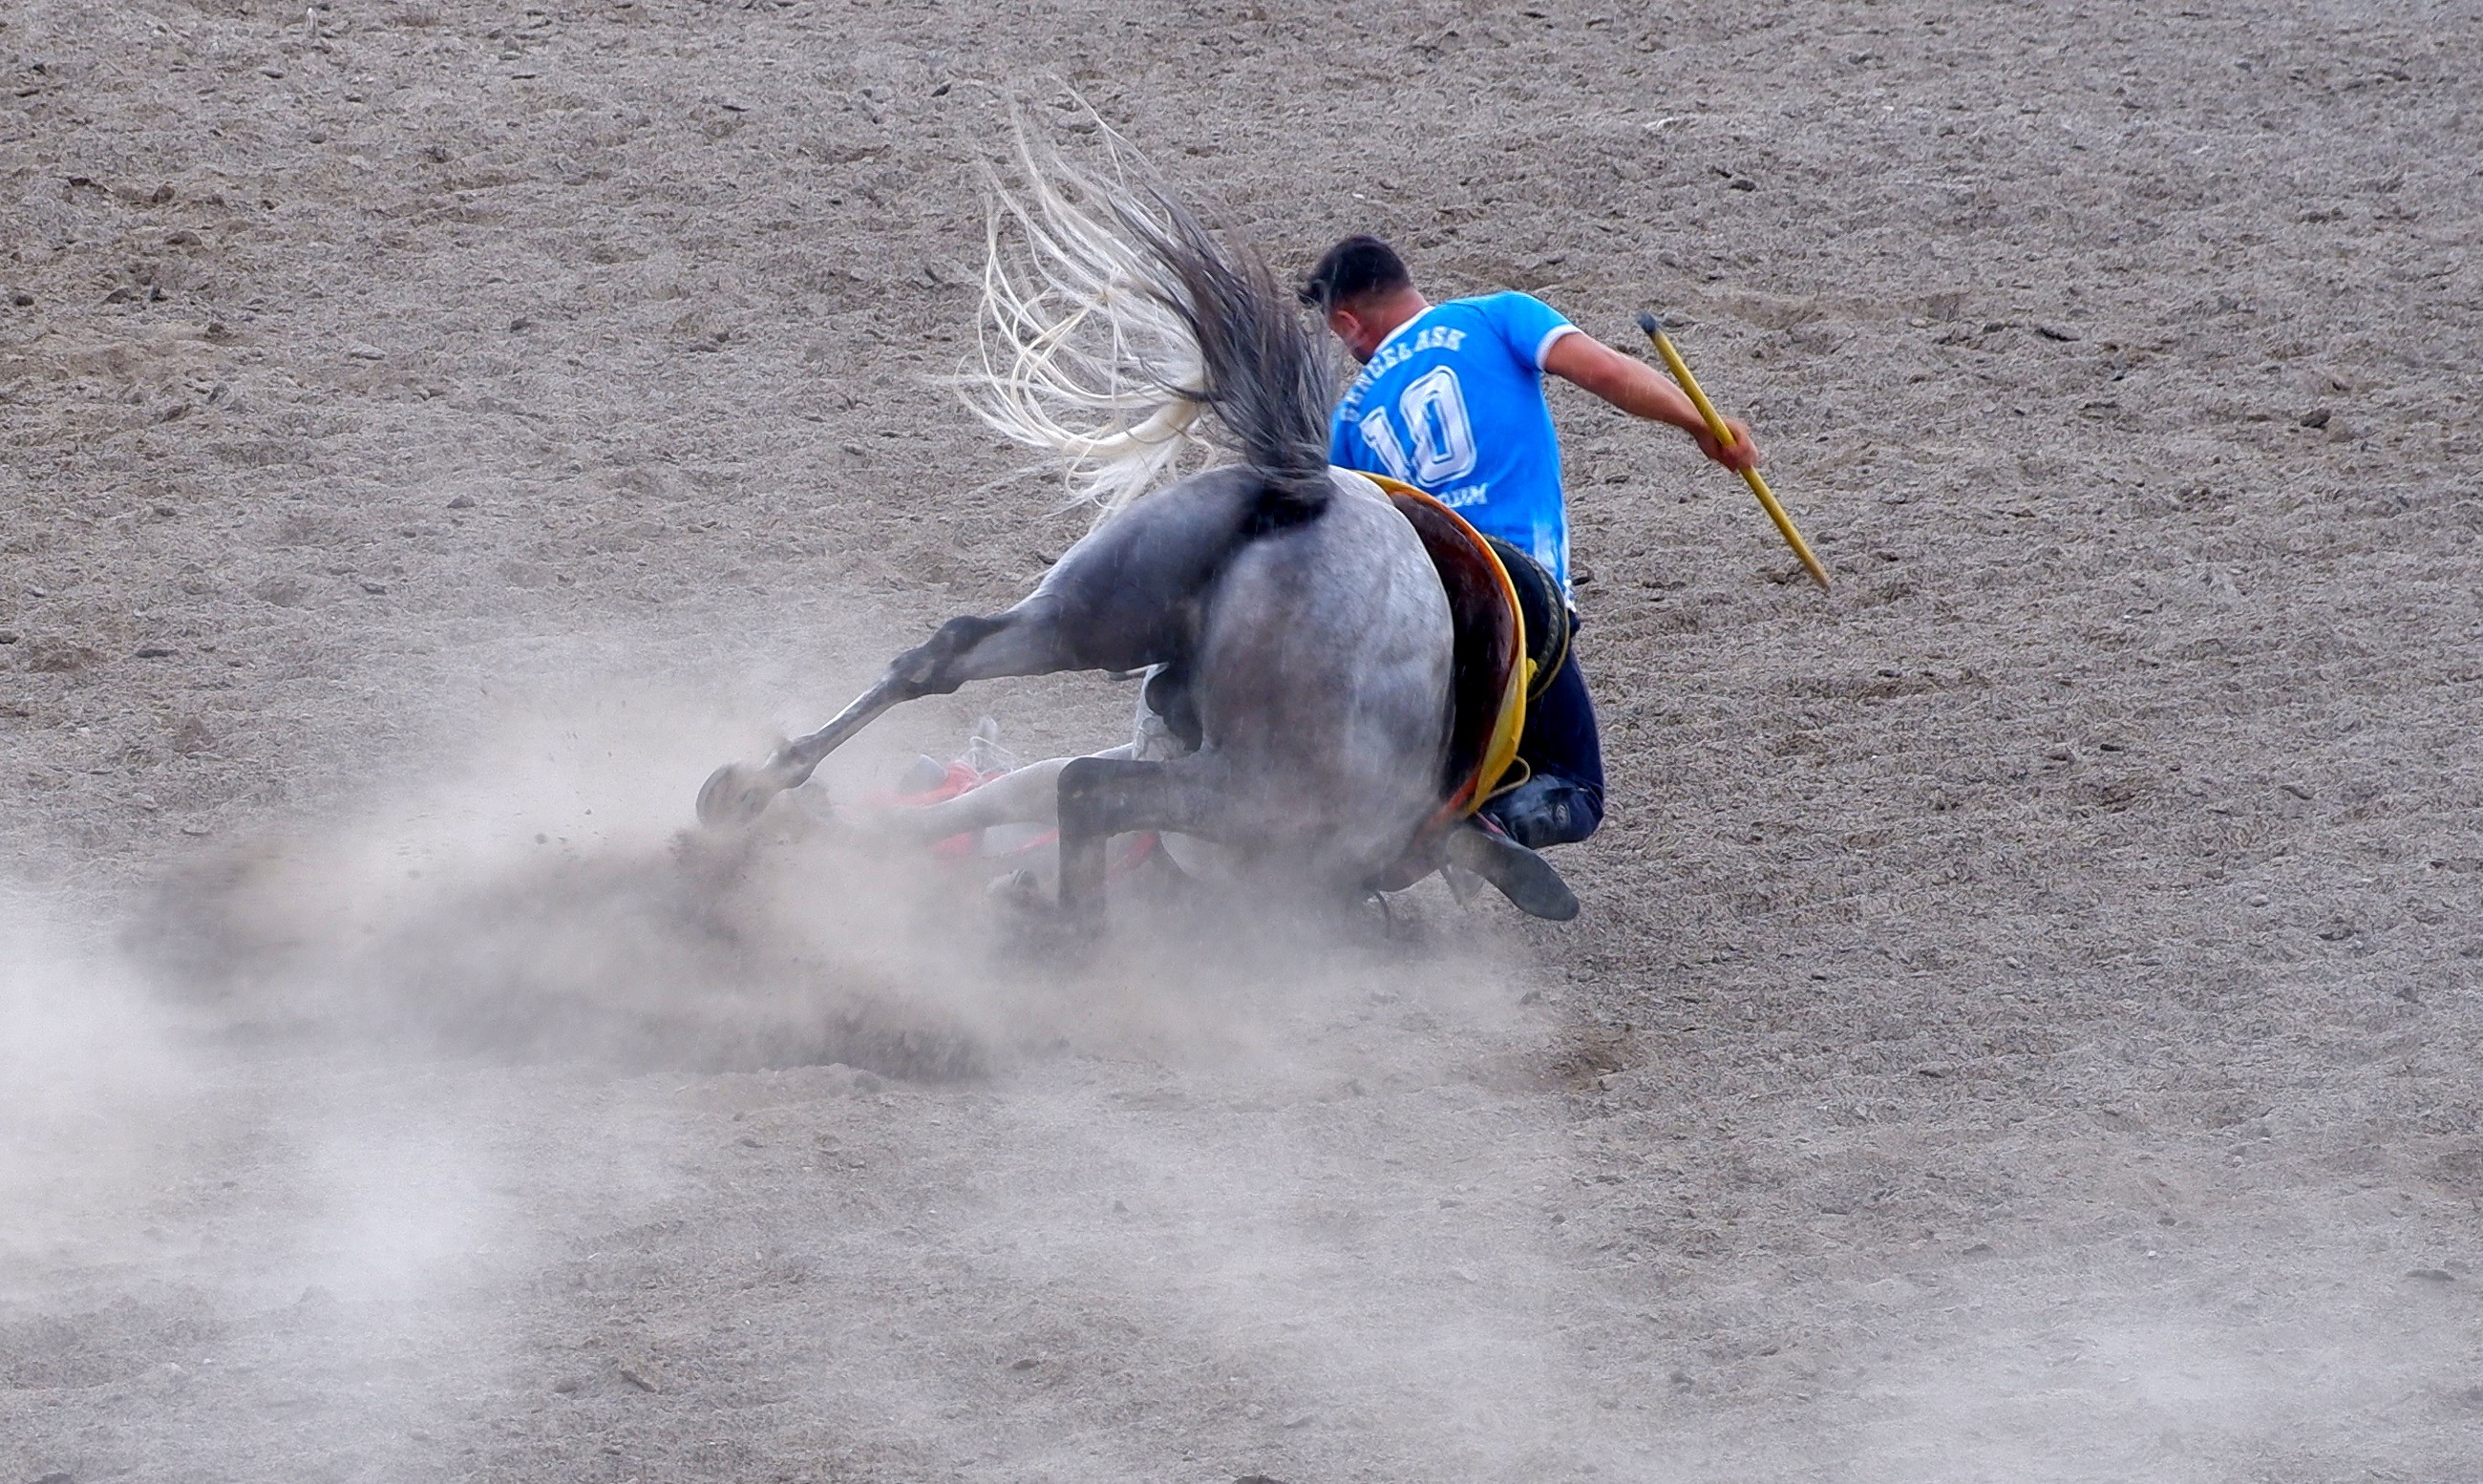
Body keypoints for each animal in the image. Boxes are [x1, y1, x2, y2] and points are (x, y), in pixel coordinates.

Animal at [695, 139, 1569, 933]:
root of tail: (1308, 492)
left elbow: (981, 803)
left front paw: (856, 832)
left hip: (1098, 610)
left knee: (947, 658)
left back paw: (751, 791)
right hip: (1246, 787)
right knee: (1087, 791)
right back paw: (1065, 930)